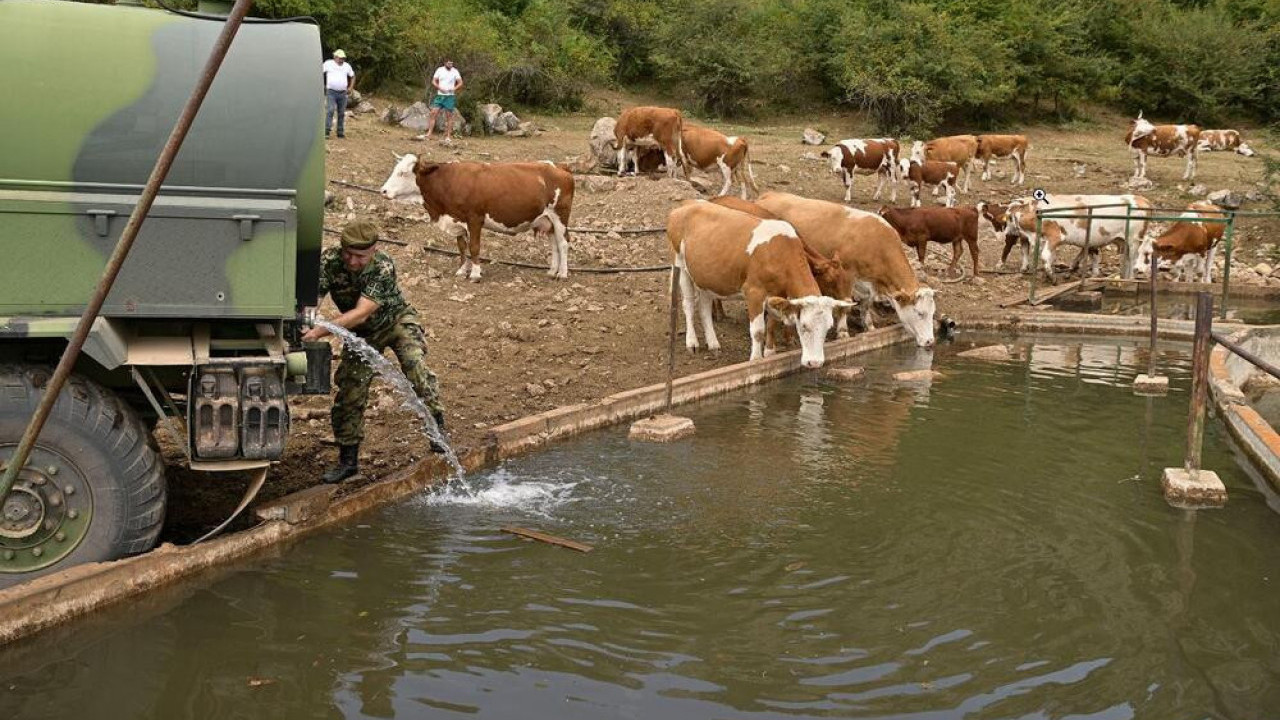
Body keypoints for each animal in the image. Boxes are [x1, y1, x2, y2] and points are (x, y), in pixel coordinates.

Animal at [376, 152, 573, 279]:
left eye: (403, 173)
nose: (383, 191)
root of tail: (559, 166)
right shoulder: (457, 219)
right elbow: (462, 247)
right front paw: (462, 270)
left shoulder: (475, 219)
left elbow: (474, 247)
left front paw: (476, 274)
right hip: (548, 220)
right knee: (554, 244)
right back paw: (552, 271)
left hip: (560, 217)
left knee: (563, 243)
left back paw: (562, 274)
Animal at [665, 198, 855, 363]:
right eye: (804, 326)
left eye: (828, 327)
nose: (815, 363)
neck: (781, 253)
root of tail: (687, 204)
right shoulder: (754, 292)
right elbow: (757, 330)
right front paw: (756, 359)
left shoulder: (777, 295)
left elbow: (772, 323)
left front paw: (770, 353)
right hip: (680, 264)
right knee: (689, 305)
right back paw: (692, 342)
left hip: (706, 277)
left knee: (704, 308)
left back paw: (713, 344)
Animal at [752, 190, 936, 348]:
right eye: (920, 313)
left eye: (933, 313)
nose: (929, 341)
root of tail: (769, 195)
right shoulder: (847, 275)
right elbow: (846, 303)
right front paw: (843, 332)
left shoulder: (867, 281)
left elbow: (867, 303)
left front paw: (869, 326)